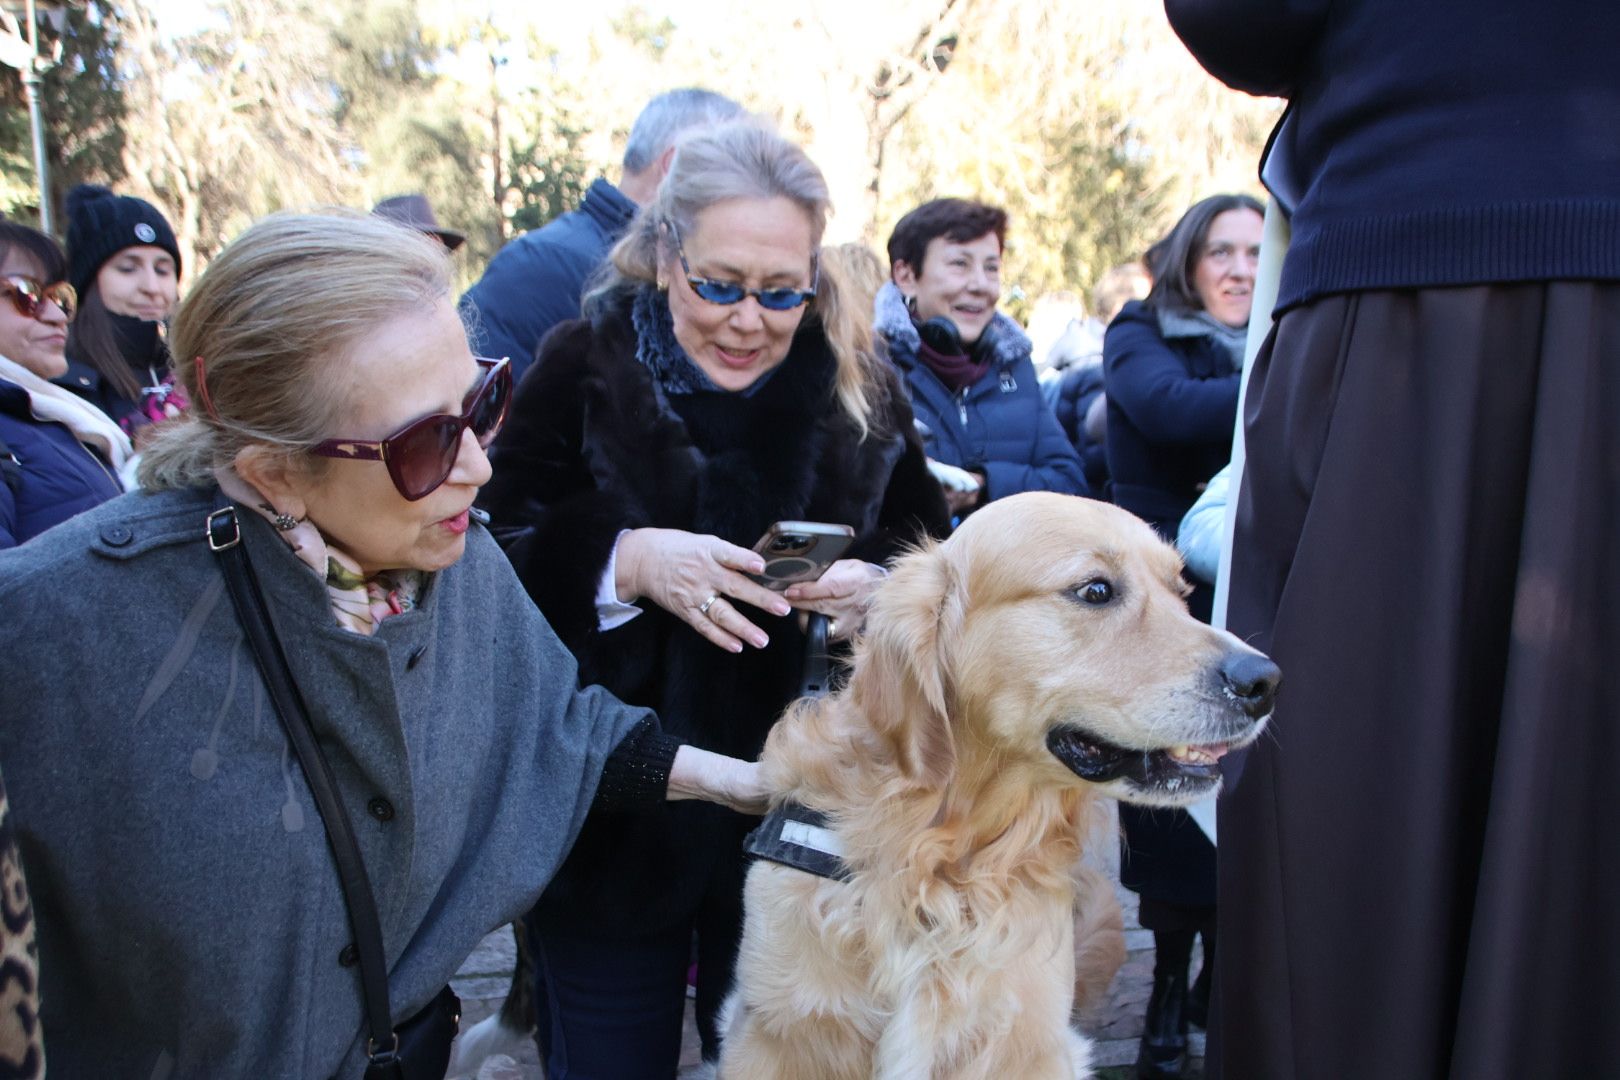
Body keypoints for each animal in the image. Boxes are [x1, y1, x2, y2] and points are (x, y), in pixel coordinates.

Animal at [722, 492, 1276, 1080]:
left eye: (1181, 592)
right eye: (1095, 591)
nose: (1265, 682)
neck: (944, 855)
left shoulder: (1029, 1042)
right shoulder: (772, 1037)